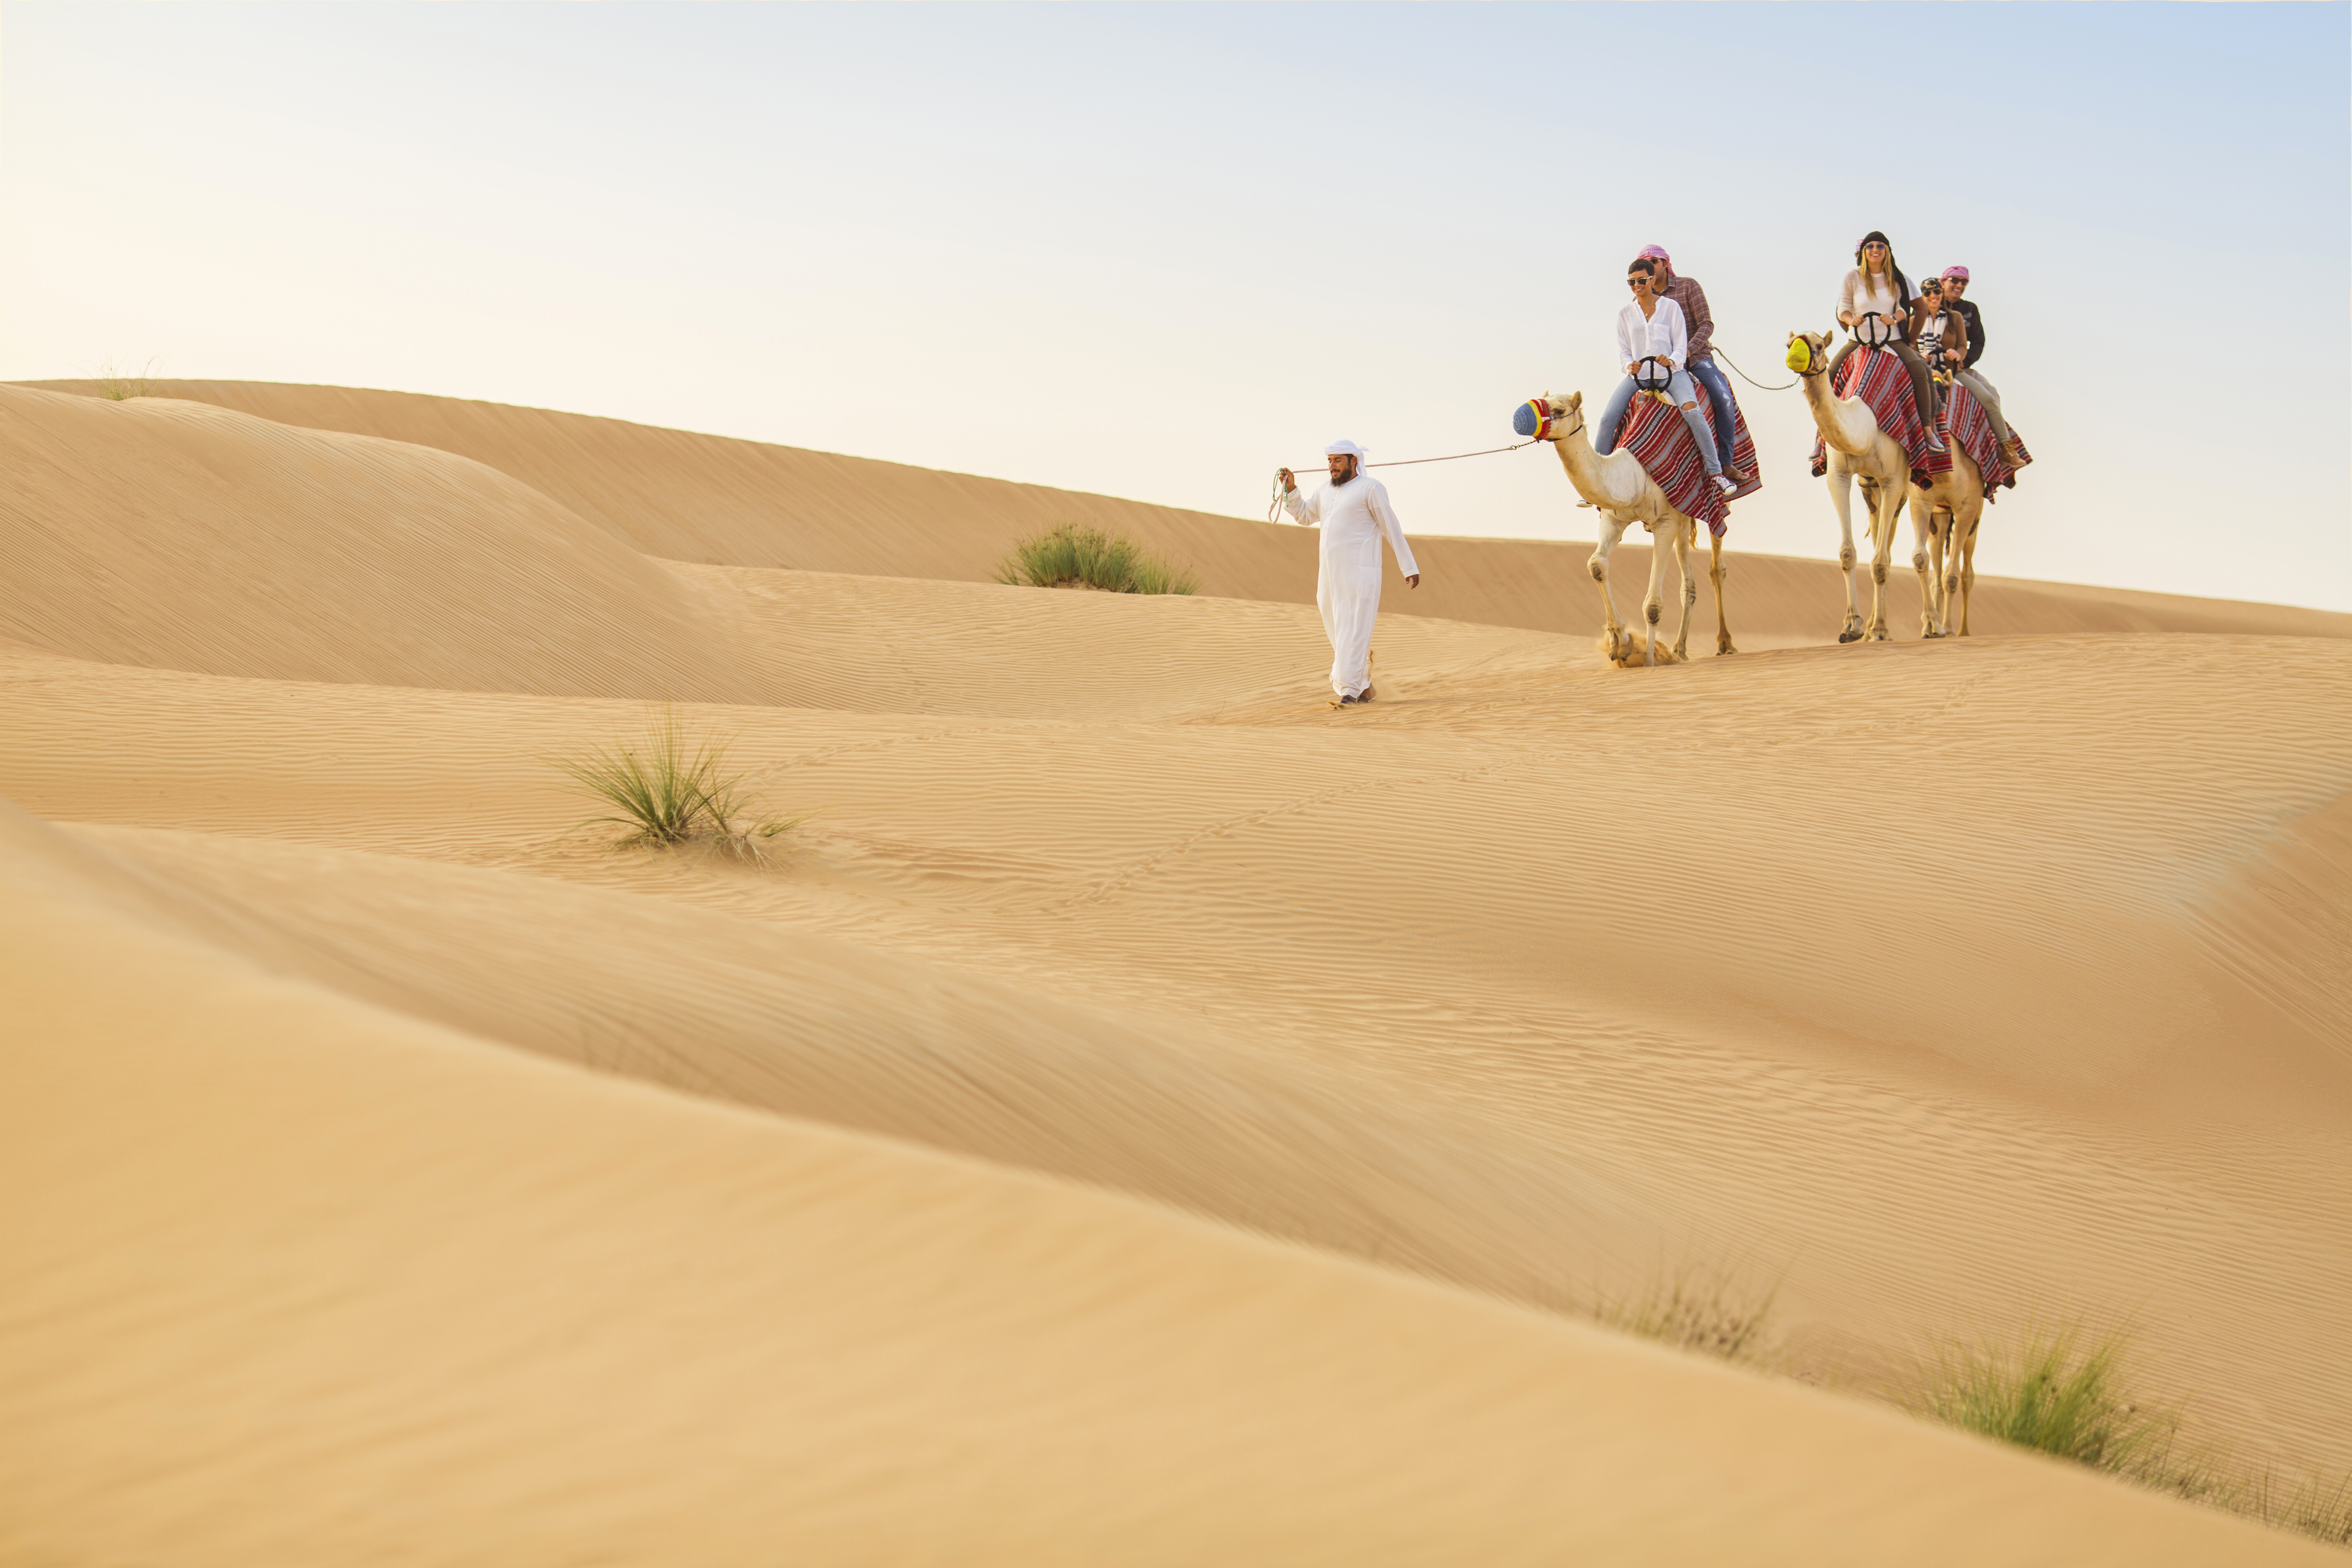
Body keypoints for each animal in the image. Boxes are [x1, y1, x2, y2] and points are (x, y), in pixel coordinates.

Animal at [1515, 392, 1740, 668]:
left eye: (1559, 410)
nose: (1521, 418)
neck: (1635, 477)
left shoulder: (1664, 522)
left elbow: (1653, 606)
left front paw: (1649, 664)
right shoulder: (1613, 518)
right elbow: (1597, 565)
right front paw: (1621, 643)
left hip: (1712, 503)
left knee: (1716, 566)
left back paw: (1724, 645)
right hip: (1685, 515)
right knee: (1688, 582)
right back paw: (1680, 650)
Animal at [1787, 331, 1938, 644]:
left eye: (1818, 346)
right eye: (1789, 344)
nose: (1795, 357)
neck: (1866, 425)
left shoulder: (1893, 480)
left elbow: (1880, 563)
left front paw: (1876, 630)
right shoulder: (1839, 475)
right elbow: (1848, 554)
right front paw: (1852, 626)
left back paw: (1934, 626)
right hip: (1872, 489)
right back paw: (1874, 628)